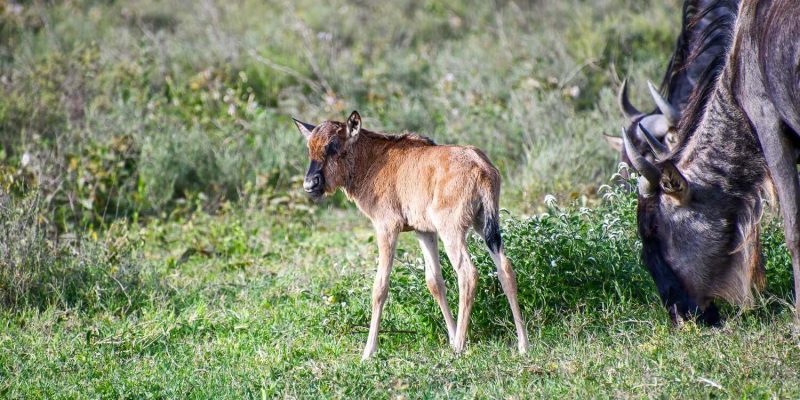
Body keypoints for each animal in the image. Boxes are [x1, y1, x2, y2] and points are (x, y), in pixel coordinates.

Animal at [293, 111, 528, 360]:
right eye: (310, 147)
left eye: (333, 146)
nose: (310, 185)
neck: (373, 159)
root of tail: (482, 168)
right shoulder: (424, 231)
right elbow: (434, 281)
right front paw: (451, 336)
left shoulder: (387, 227)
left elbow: (380, 286)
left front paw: (368, 351)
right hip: (485, 226)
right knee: (505, 269)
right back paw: (522, 345)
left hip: (452, 230)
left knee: (468, 273)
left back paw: (460, 347)